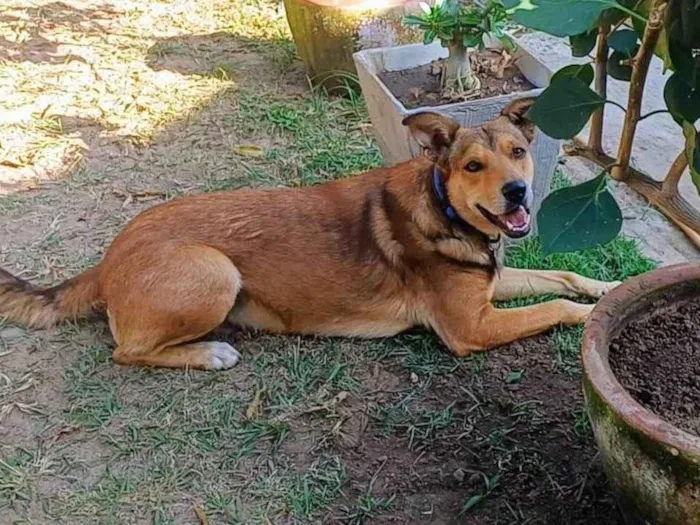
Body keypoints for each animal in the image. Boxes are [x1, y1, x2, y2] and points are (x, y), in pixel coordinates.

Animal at [0, 98, 616, 368]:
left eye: (518, 152)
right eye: (472, 166)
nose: (518, 193)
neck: (443, 209)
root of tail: (108, 258)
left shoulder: (492, 284)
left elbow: (562, 274)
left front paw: (606, 290)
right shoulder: (472, 326)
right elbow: (556, 305)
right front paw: (592, 316)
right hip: (214, 272)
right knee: (126, 352)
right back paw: (209, 353)